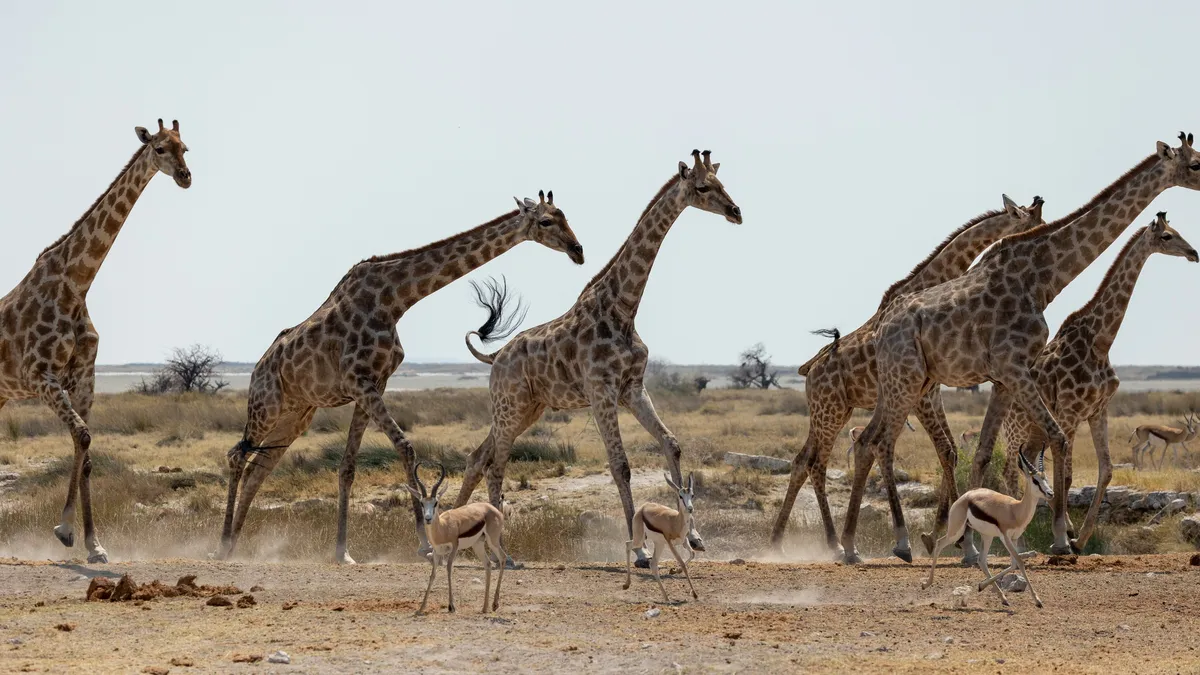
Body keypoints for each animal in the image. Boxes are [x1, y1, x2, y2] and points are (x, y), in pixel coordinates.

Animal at [0, 119, 191, 563]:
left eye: (186, 147)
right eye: (159, 148)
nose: (185, 177)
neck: (76, 284)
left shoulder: (84, 378)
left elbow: (85, 450)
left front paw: (90, 543)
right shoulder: (41, 376)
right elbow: (84, 438)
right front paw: (65, 530)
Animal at [216, 191, 584, 562]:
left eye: (565, 216)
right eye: (546, 221)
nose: (578, 250)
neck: (394, 301)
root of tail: (257, 369)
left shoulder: (374, 383)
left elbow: (347, 467)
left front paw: (343, 551)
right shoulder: (359, 382)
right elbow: (405, 447)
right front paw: (423, 543)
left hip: (296, 415)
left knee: (258, 467)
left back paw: (235, 543)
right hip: (267, 404)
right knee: (237, 455)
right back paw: (221, 546)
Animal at [451, 150, 742, 567]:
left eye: (722, 183)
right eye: (703, 187)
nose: (736, 211)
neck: (624, 308)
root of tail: (494, 357)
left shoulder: (632, 388)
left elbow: (671, 443)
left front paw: (695, 537)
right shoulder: (601, 390)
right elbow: (620, 464)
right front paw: (639, 549)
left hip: (528, 409)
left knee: (479, 457)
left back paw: (451, 539)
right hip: (509, 404)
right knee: (497, 464)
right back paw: (501, 553)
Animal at [769, 196, 1046, 562]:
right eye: (1033, 224)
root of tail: (808, 371)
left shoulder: (931, 391)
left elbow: (950, 451)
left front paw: (948, 534)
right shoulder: (922, 395)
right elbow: (940, 449)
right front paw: (954, 540)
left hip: (832, 412)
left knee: (802, 461)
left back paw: (780, 542)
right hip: (830, 412)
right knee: (817, 464)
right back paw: (833, 544)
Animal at [971, 215, 1196, 556]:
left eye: (1178, 232)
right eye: (1168, 236)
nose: (1193, 253)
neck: (1100, 341)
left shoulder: (1097, 410)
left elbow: (1106, 469)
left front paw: (1080, 538)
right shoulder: (1069, 412)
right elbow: (1067, 474)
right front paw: (1064, 536)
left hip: (1034, 430)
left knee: (1026, 465)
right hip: (1016, 427)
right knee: (1011, 469)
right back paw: (1022, 542)